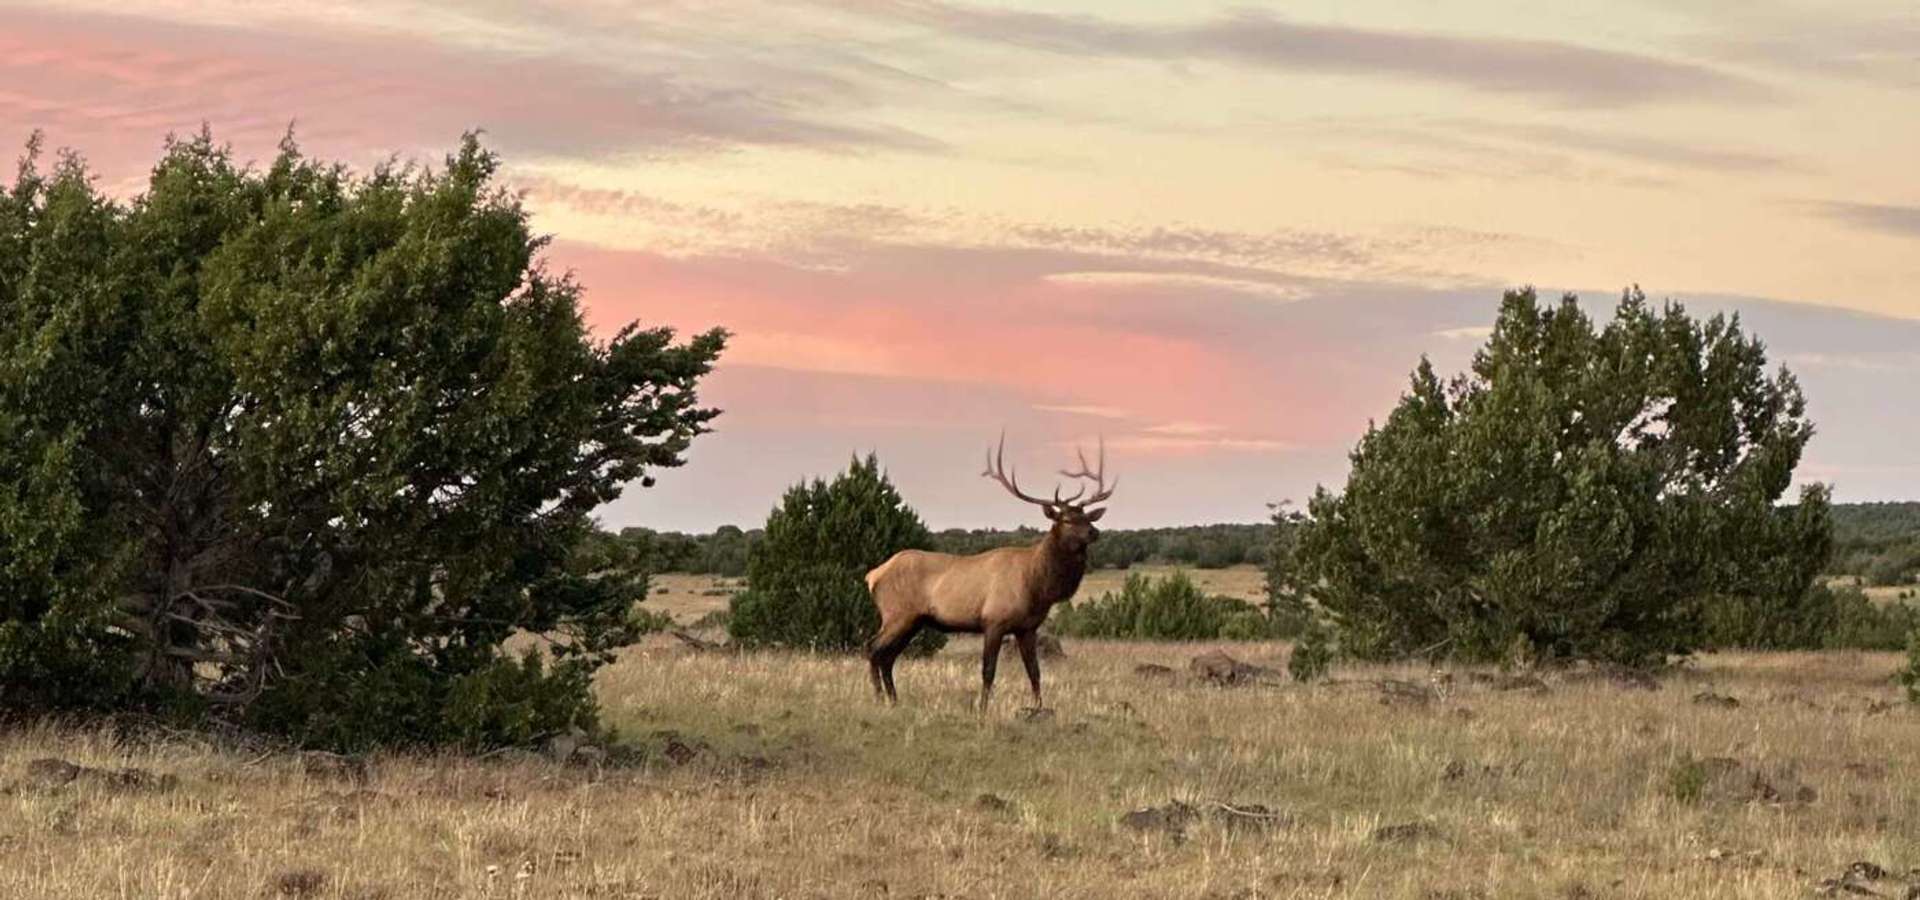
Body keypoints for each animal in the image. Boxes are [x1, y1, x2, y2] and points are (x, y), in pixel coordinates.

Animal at [863, 433, 1116, 711]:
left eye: (1088, 517)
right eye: (1067, 520)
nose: (1094, 532)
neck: (1037, 585)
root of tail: (873, 575)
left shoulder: (1027, 628)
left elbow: (1034, 671)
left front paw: (1038, 707)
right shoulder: (994, 620)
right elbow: (988, 670)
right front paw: (982, 709)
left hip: (913, 620)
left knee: (888, 656)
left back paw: (894, 699)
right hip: (897, 613)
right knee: (873, 648)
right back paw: (878, 698)